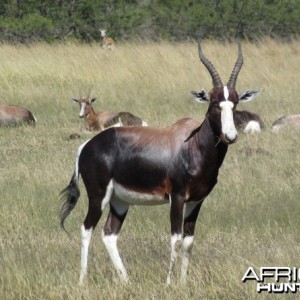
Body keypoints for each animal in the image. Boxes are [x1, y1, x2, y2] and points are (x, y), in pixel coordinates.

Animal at [60, 38, 260, 284]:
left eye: (235, 102)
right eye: (214, 102)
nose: (230, 136)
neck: (192, 144)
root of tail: (86, 146)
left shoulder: (196, 201)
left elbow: (188, 242)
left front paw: (182, 283)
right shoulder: (177, 197)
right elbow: (175, 239)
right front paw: (168, 284)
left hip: (120, 200)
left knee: (109, 234)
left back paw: (126, 280)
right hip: (99, 196)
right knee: (86, 228)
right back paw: (83, 281)